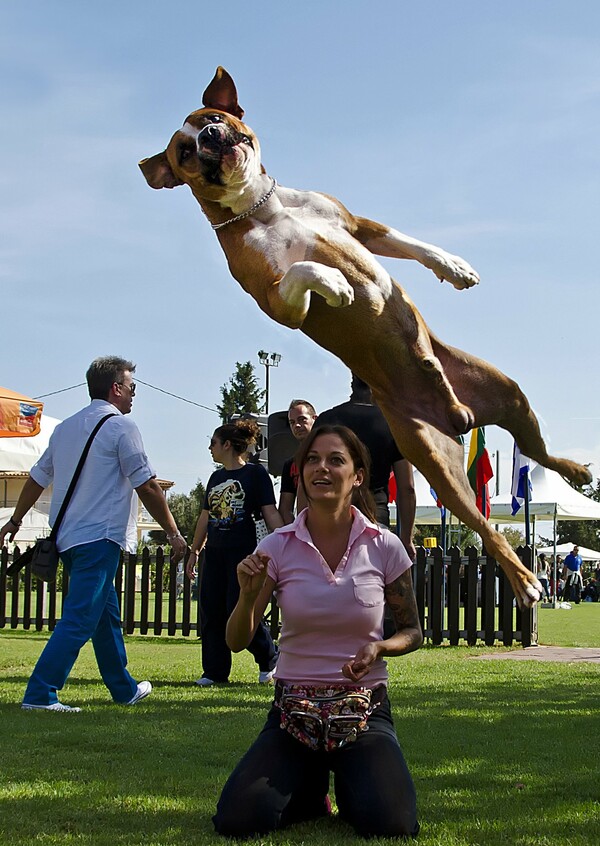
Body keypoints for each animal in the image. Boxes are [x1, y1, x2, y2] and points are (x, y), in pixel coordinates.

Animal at [139, 66, 592, 608]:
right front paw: (338, 284)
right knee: (486, 527)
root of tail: (457, 413)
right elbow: (305, 272)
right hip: (434, 461)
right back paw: (523, 579)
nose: (209, 136)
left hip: (507, 393)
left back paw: (575, 471)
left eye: (212, 118)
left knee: (538, 451)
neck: (264, 209)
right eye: (184, 153)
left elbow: (407, 241)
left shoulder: (356, 223)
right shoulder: (276, 300)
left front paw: (453, 267)